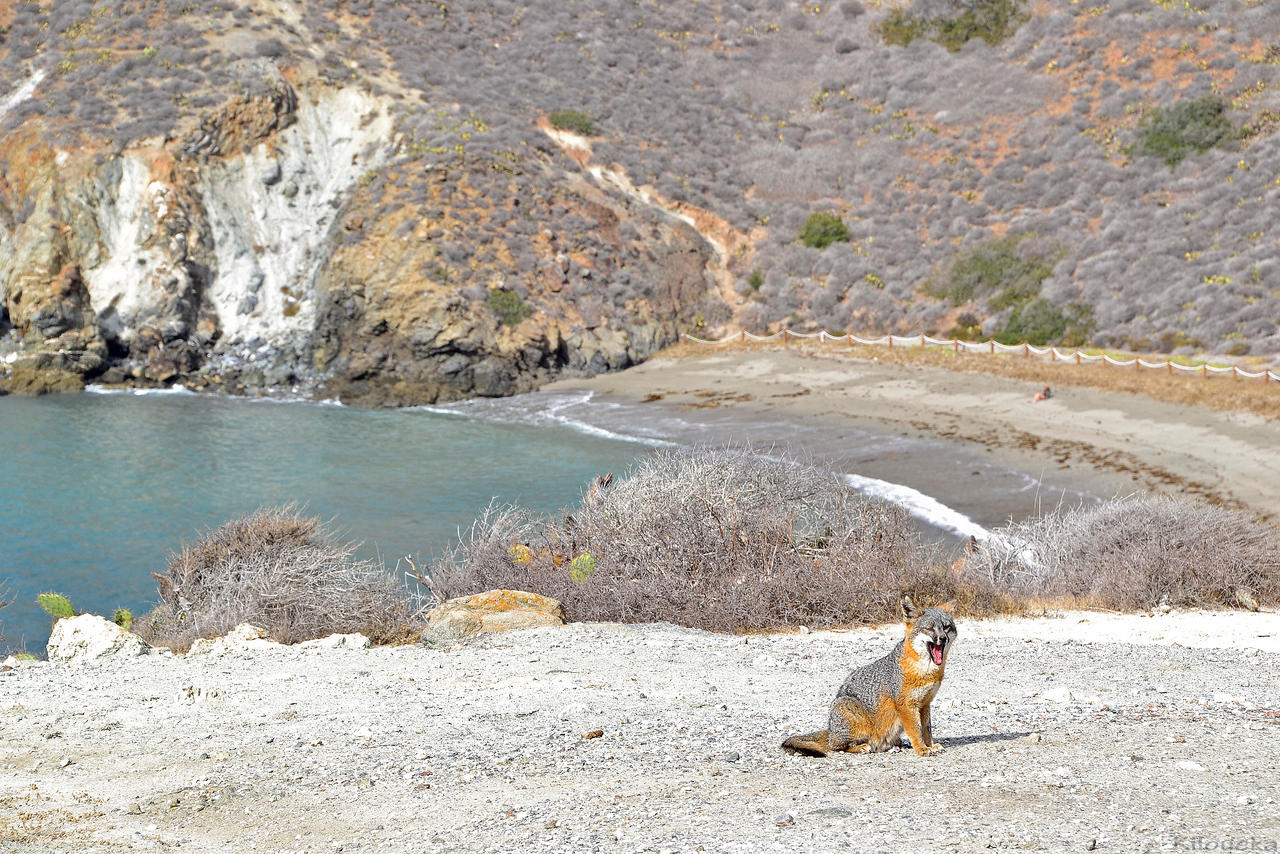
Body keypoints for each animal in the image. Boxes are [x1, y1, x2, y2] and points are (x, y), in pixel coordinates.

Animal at [783, 599, 957, 757]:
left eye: (947, 627)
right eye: (929, 628)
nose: (943, 638)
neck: (925, 672)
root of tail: (830, 730)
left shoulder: (925, 703)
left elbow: (927, 730)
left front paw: (930, 745)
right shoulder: (906, 705)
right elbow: (916, 731)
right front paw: (922, 749)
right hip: (847, 709)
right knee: (836, 747)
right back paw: (861, 747)